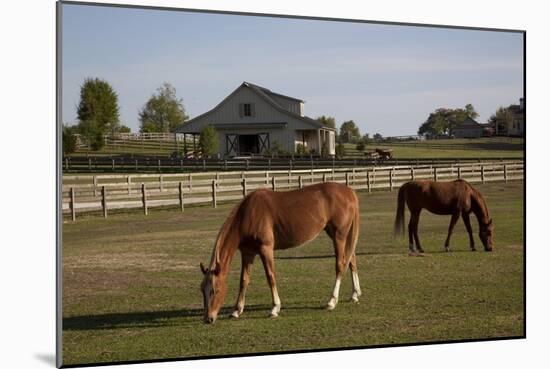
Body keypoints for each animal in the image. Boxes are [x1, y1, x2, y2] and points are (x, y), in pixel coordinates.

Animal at [201, 182, 364, 322]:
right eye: (202, 290)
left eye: (215, 290)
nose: (208, 318)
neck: (248, 214)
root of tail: (349, 192)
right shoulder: (248, 253)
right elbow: (244, 280)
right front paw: (237, 310)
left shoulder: (266, 249)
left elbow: (271, 276)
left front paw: (275, 308)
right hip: (338, 235)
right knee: (351, 261)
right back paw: (355, 294)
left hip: (339, 236)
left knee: (340, 265)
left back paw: (332, 301)